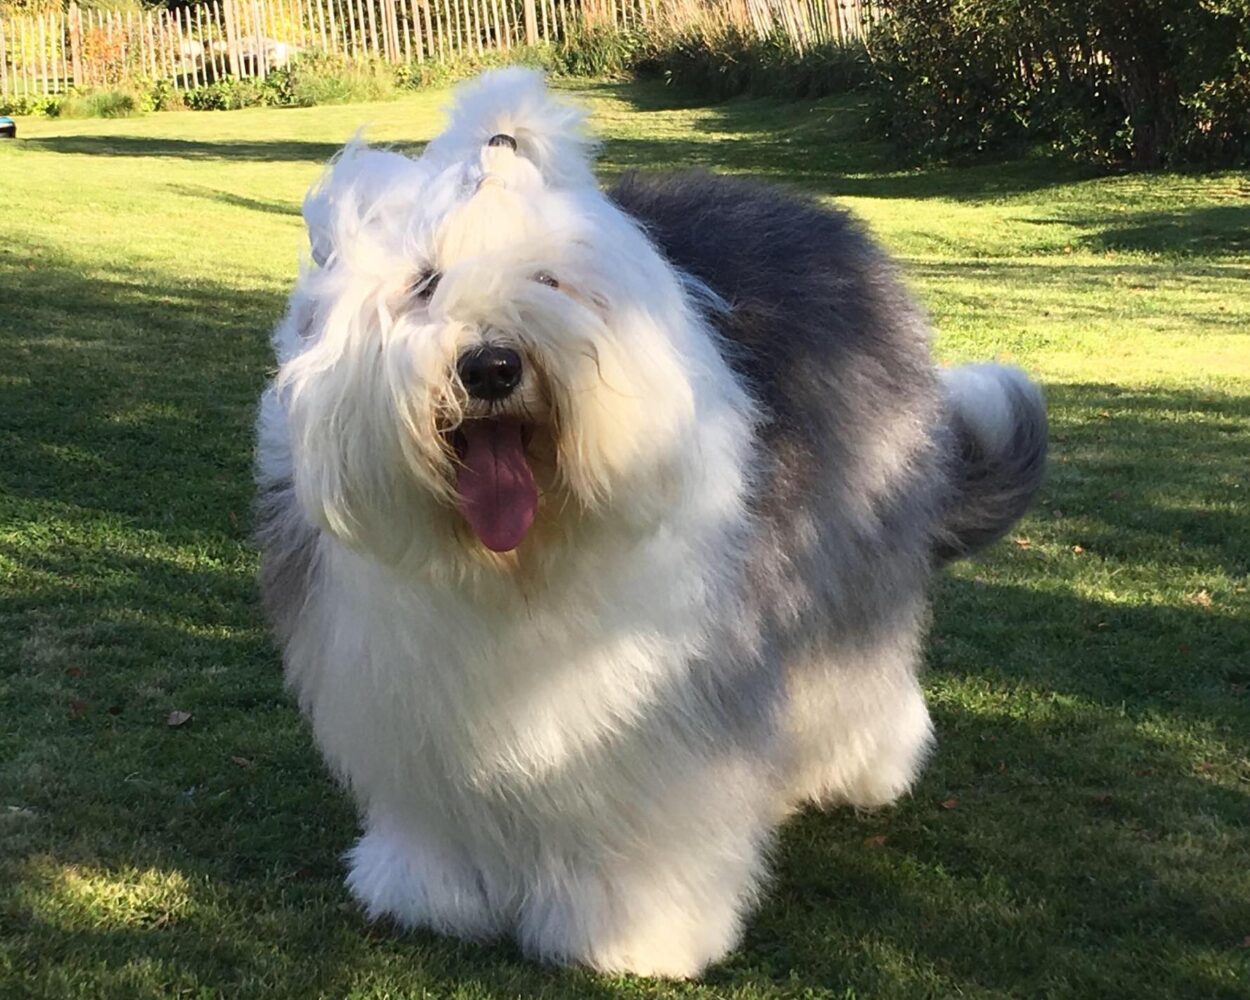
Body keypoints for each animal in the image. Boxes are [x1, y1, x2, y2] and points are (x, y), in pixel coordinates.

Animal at [251, 68, 1045, 975]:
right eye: (425, 283)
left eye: (549, 280)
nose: (491, 365)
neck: (516, 567)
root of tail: (819, 218)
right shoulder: (403, 689)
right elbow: (434, 810)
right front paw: (430, 893)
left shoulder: (659, 702)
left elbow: (655, 818)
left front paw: (637, 934)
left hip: (851, 557)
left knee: (855, 666)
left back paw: (858, 769)